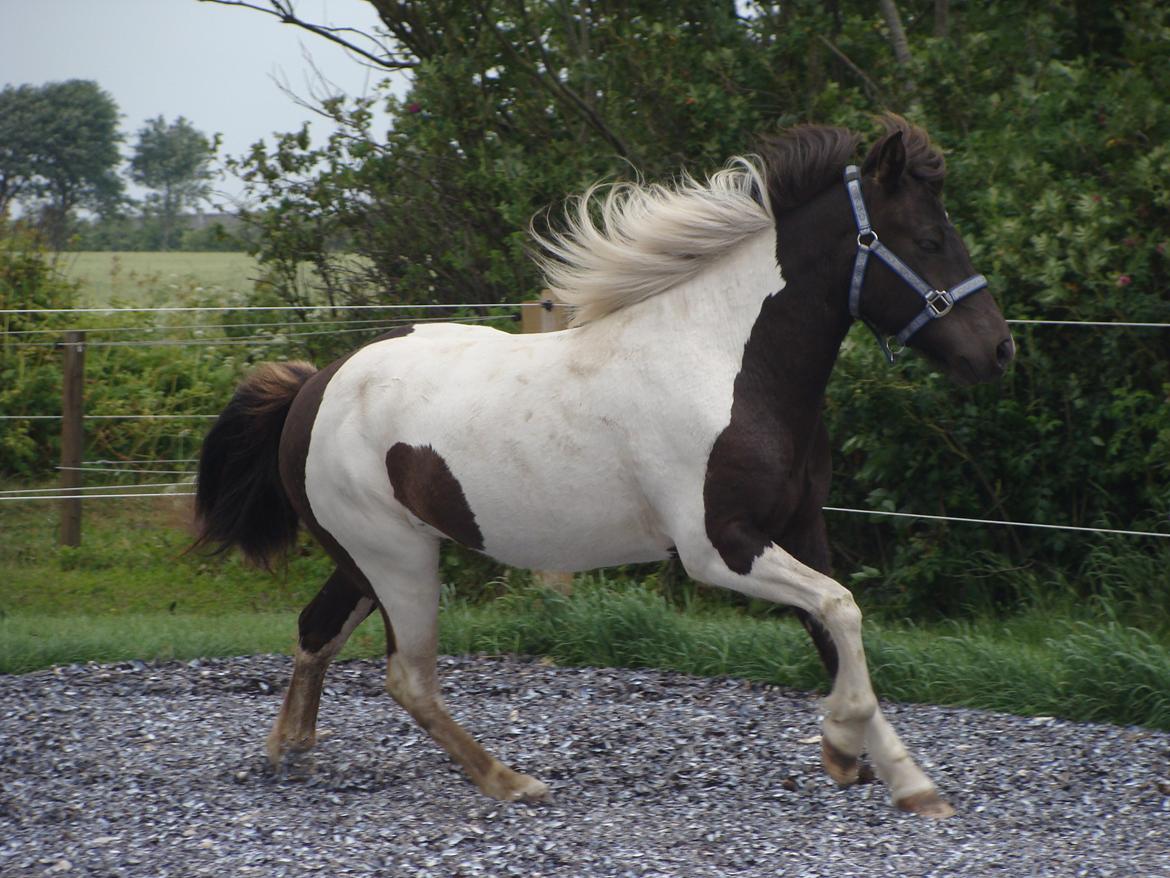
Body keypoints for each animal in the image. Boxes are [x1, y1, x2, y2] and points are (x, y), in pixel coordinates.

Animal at [194, 115, 1015, 819]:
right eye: (929, 237)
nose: (998, 351)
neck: (725, 363)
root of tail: (314, 386)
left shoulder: (800, 526)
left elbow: (835, 629)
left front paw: (893, 775)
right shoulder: (720, 548)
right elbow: (842, 611)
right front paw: (854, 755)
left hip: (370, 559)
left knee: (317, 631)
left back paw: (292, 752)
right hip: (397, 560)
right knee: (409, 678)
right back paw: (510, 781)